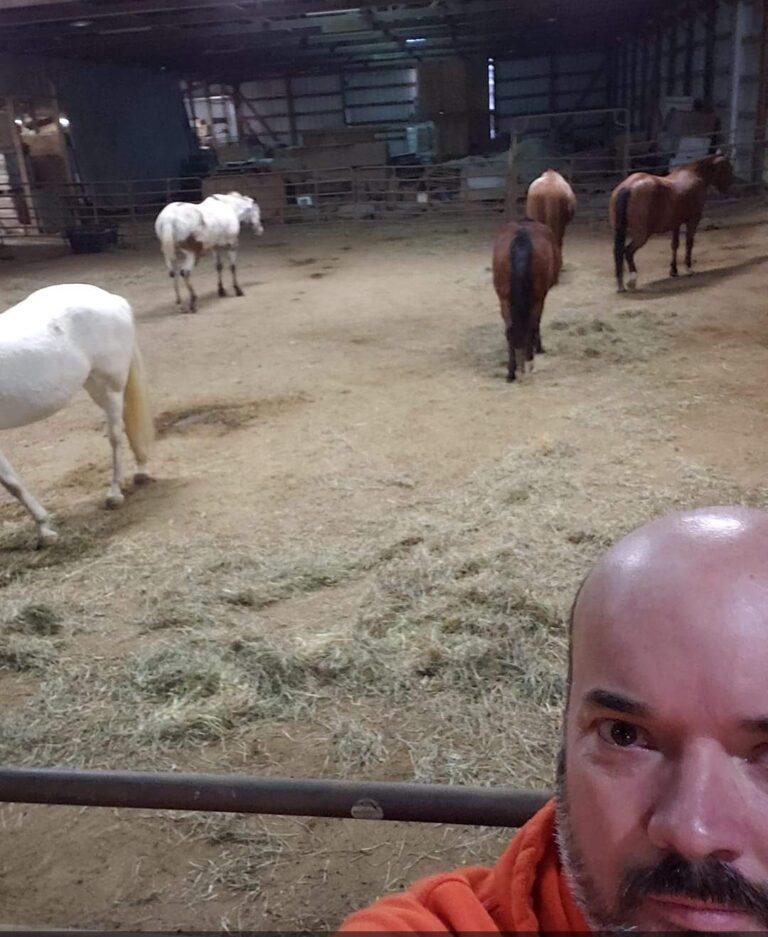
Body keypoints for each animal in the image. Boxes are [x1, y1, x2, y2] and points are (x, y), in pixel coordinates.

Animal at [492, 219, 560, 380]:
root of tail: (521, 235)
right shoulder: (541, 297)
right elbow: (537, 323)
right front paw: (538, 347)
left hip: (504, 299)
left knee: (510, 330)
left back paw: (511, 371)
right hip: (536, 298)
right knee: (531, 324)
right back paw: (529, 360)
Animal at [612, 150, 732, 290]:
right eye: (727, 168)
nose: (728, 187)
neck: (694, 174)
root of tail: (628, 188)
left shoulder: (676, 223)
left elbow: (674, 245)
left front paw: (674, 270)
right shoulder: (693, 219)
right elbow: (689, 243)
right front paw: (688, 268)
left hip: (620, 230)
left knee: (618, 252)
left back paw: (621, 285)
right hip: (642, 235)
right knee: (628, 251)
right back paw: (632, 280)